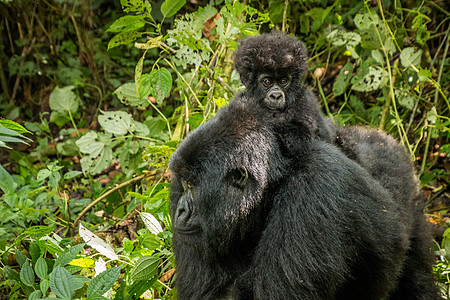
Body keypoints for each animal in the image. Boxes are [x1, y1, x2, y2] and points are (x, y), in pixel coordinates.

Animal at [168, 97, 436, 298]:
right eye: (183, 183)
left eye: (192, 186)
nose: (180, 211)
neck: (274, 184)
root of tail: (384, 139)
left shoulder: (312, 192)